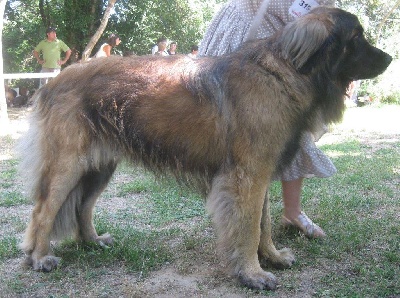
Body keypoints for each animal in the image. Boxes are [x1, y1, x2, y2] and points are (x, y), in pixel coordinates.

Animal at [18, 7, 390, 290]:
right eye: (356, 38)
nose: (388, 58)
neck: (283, 73)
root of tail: (52, 82)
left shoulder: (258, 173)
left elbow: (263, 224)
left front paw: (272, 257)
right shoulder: (246, 177)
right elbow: (249, 227)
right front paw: (253, 274)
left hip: (99, 166)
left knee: (82, 206)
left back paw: (92, 242)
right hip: (68, 164)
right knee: (43, 211)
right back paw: (39, 258)